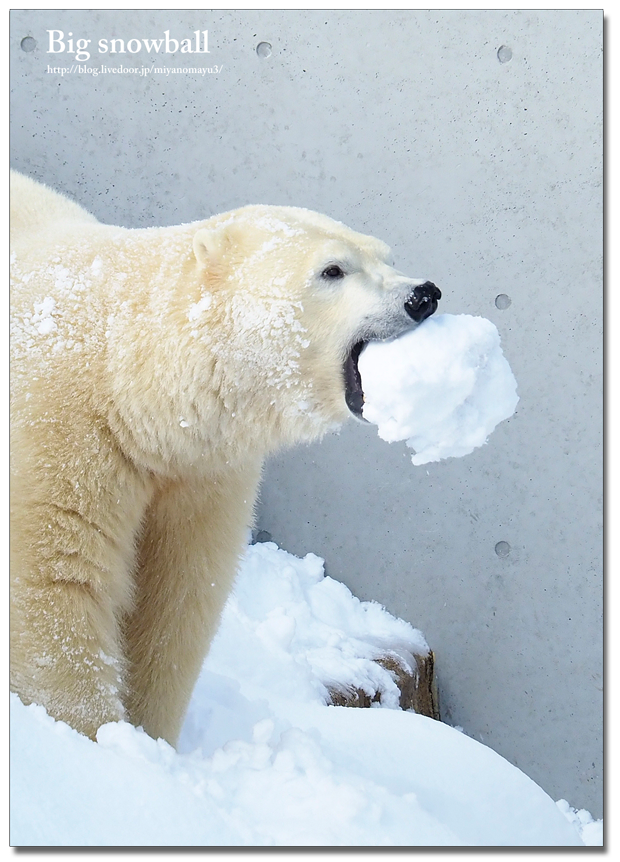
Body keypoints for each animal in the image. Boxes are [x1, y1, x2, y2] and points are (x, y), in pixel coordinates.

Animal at [12, 172, 444, 744]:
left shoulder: (200, 470)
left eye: (387, 257)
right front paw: (100, 739)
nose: (423, 294)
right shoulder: (60, 431)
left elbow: (177, 600)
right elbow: (54, 584)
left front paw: (150, 737)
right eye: (332, 269)